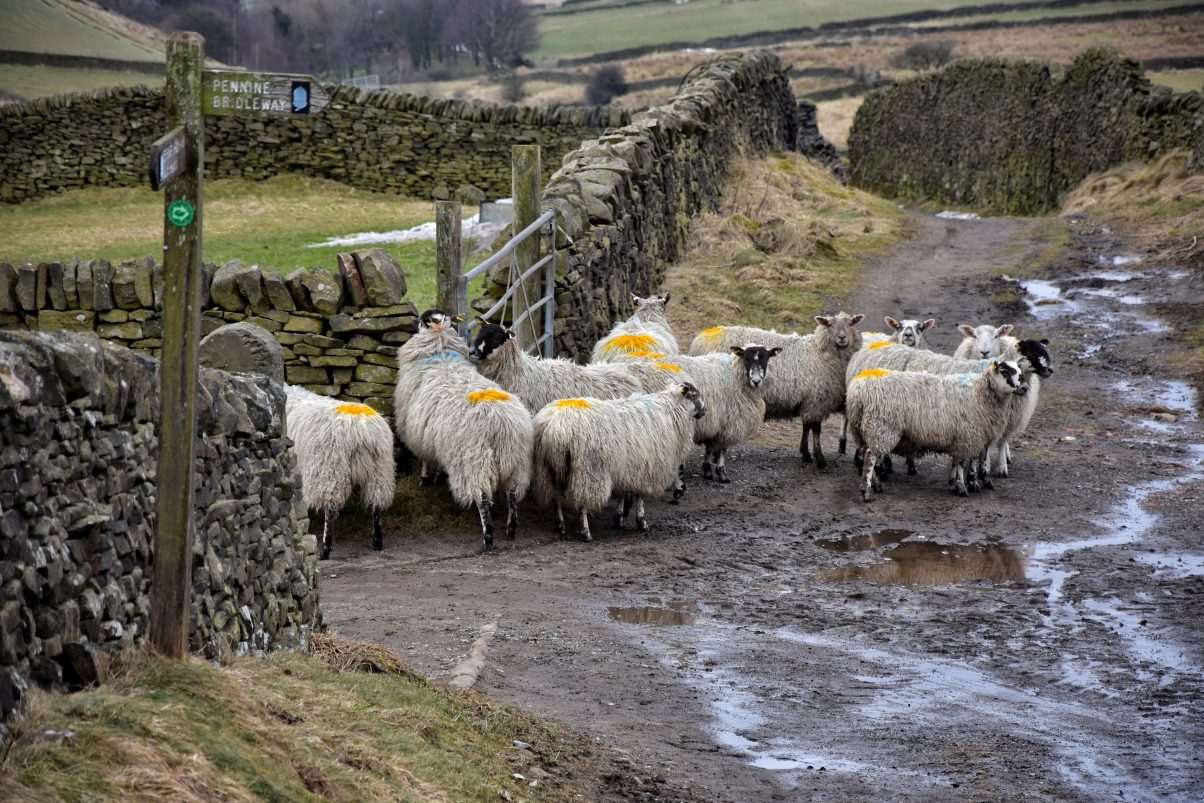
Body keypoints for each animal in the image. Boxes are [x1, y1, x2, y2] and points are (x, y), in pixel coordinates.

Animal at [284, 385, 396, 560]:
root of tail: (361, 430)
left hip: (329, 470)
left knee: (330, 511)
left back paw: (325, 548)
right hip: (380, 469)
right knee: (377, 505)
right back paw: (377, 542)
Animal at [393, 318, 534, 549]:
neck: (440, 353)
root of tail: (501, 424)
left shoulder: (418, 434)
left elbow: (425, 459)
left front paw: (425, 480)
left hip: (474, 461)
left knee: (482, 498)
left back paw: (488, 537)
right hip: (517, 461)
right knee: (513, 494)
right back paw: (511, 529)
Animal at [531, 382, 706, 541]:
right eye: (694, 395)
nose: (704, 411)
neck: (670, 408)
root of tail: (556, 428)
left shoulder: (627, 467)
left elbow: (622, 493)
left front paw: (619, 518)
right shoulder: (646, 469)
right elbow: (640, 497)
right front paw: (641, 522)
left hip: (548, 468)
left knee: (555, 498)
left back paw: (560, 525)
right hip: (588, 470)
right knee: (582, 503)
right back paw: (585, 532)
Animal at [687, 312, 865, 468]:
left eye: (850, 323)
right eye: (829, 324)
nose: (842, 338)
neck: (820, 353)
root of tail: (701, 339)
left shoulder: (808, 401)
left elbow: (806, 427)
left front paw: (805, 453)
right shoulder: (817, 401)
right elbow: (816, 430)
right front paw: (819, 458)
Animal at [846, 359, 1029, 501]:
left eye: (1019, 370)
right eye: (1004, 371)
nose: (1025, 387)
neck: (981, 393)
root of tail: (857, 391)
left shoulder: (971, 436)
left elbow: (961, 460)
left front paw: (955, 483)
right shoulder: (967, 436)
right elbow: (962, 462)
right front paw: (963, 487)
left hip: (863, 429)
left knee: (867, 452)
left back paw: (876, 485)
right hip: (882, 428)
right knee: (870, 457)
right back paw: (866, 492)